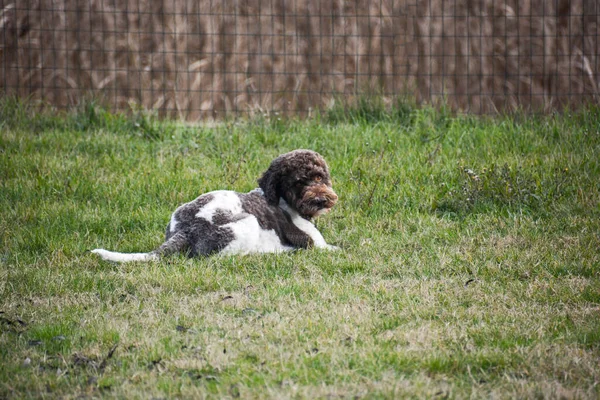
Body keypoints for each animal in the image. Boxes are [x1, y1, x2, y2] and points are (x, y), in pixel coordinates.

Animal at [92, 148, 340, 260]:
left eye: (319, 177)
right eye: (298, 182)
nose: (321, 199)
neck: (283, 200)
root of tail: (186, 229)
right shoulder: (314, 242)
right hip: (246, 224)